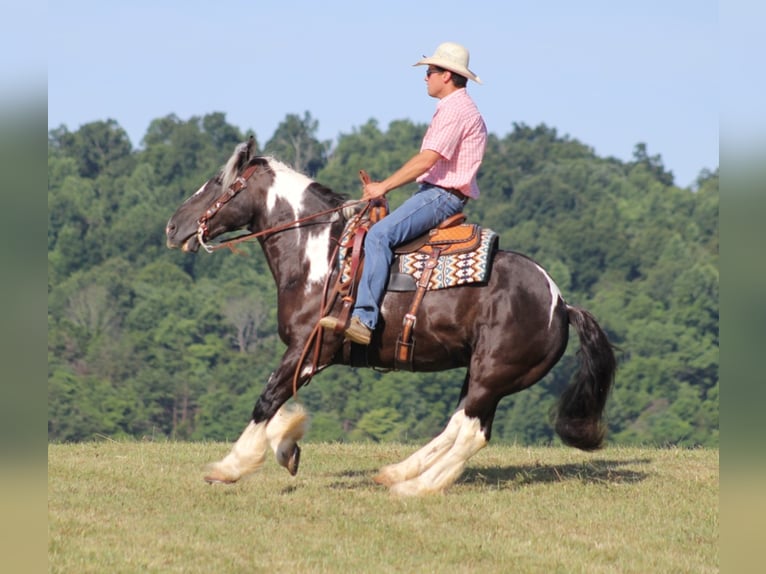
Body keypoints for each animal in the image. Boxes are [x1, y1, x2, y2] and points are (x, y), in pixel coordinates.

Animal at [168, 138, 616, 496]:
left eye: (218, 182)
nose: (173, 227)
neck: (321, 257)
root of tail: (561, 303)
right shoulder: (307, 352)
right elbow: (277, 400)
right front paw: (288, 447)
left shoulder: (311, 348)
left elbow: (267, 399)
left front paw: (230, 466)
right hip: (483, 374)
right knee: (464, 426)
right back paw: (399, 473)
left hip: (493, 373)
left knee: (470, 432)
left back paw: (416, 486)